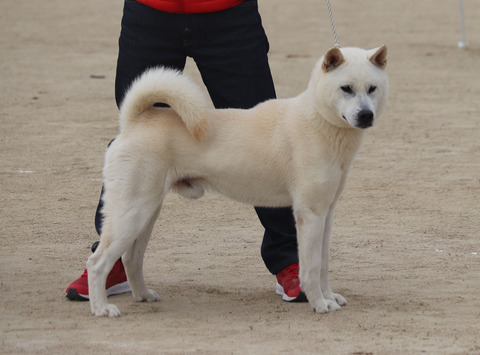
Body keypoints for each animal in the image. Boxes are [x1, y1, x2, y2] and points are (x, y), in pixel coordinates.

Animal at [87, 45, 390, 318]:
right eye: (346, 88)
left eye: (372, 88)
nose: (366, 115)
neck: (318, 120)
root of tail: (134, 122)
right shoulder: (310, 214)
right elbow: (312, 267)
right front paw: (319, 304)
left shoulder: (326, 213)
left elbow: (324, 263)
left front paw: (330, 297)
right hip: (131, 213)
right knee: (97, 262)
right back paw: (101, 308)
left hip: (147, 213)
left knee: (131, 258)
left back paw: (143, 296)